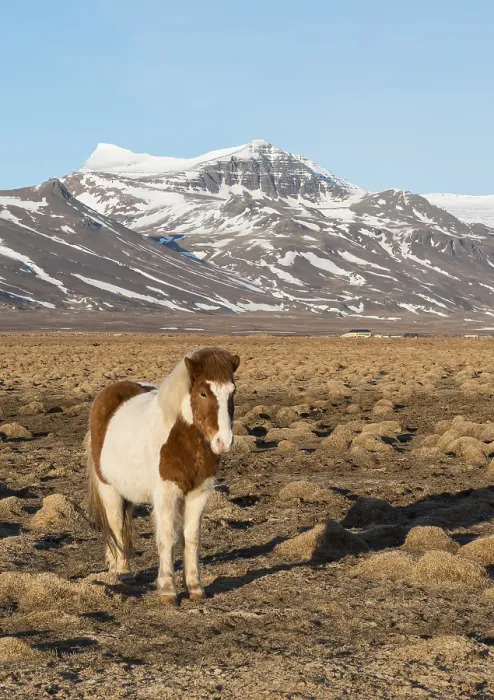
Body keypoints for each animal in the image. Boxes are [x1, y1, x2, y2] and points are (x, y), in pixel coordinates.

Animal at [84, 346, 240, 605]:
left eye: (232, 392)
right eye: (203, 393)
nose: (224, 442)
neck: (183, 441)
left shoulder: (199, 493)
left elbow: (192, 538)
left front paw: (195, 588)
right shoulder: (166, 494)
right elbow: (167, 538)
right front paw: (168, 591)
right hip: (109, 488)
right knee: (115, 524)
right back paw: (123, 571)